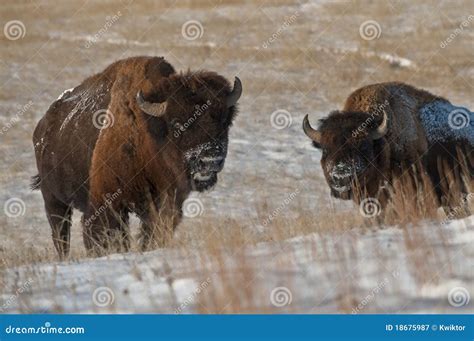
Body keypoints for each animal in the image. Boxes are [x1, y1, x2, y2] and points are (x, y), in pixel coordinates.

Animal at [31, 56, 243, 258]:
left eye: (224, 121)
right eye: (177, 124)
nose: (209, 160)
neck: (149, 135)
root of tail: (43, 126)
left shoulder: (165, 203)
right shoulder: (107, 203)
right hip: (53, 200)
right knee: (61, 236)